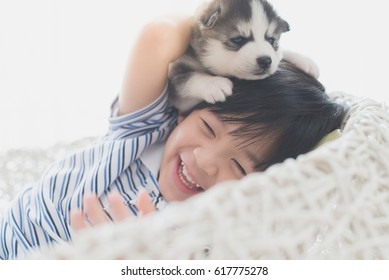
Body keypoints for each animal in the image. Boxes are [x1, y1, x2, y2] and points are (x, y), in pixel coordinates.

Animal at [168, 0, 316, 111]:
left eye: (271, 40)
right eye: (238, 39)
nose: (265, 60)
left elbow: (280, 53)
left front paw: (304, 61)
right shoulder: (177, 92)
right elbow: (188, 78)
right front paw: (213, 83)